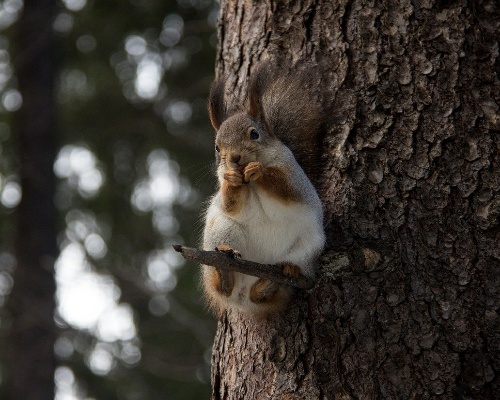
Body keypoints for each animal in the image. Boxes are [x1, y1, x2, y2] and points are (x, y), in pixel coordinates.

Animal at [201, 62, 326, 316]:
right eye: (217, 147)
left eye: (254, 134)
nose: (234, 158)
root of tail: (242, 298)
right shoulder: (224, 190)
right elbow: (230, 205)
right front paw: (232, 179)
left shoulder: (294, 177)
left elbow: (285, 190)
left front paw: (258, 170)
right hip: (222, 230)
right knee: (223, 286)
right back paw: (225, 269)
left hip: (307, 246)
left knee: (267, 289)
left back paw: (276, 279)